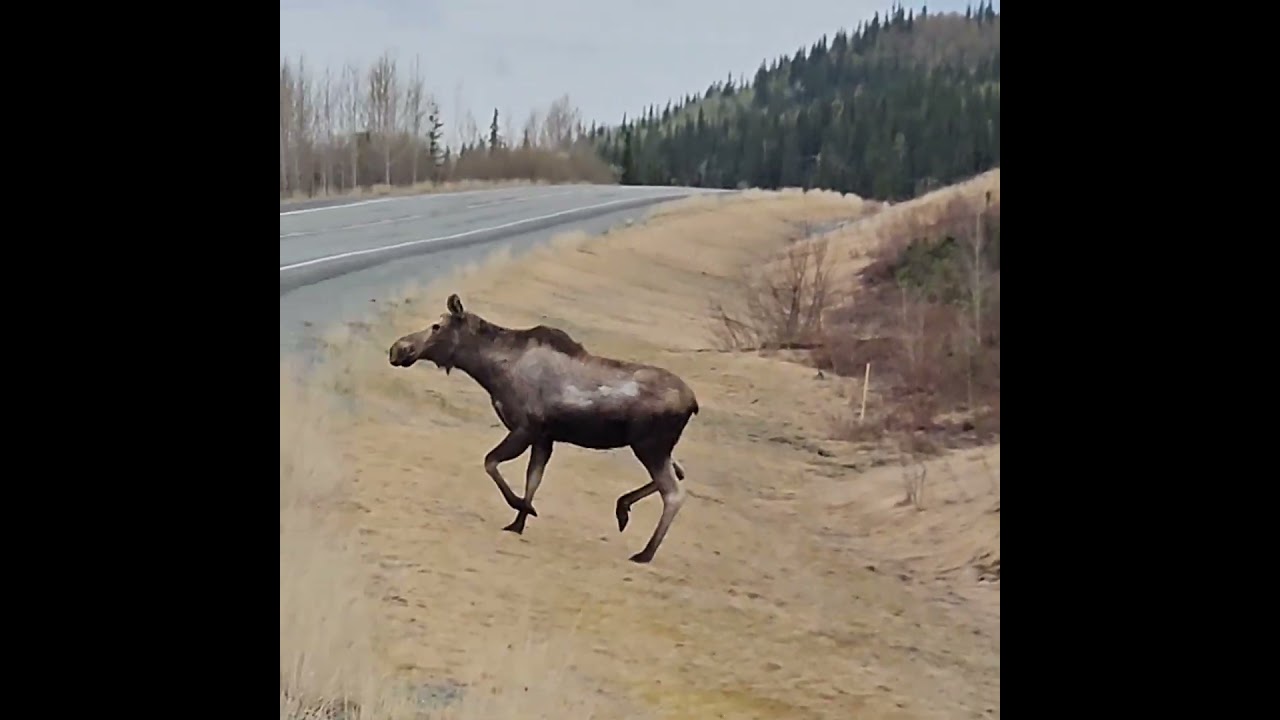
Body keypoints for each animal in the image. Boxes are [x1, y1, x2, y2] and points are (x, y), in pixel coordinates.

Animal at [388, 294, 699, 564]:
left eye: (437, 325)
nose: (398, 349)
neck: (489, 370)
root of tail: (693, 404)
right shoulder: (544, 438)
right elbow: (533, 479)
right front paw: (518, 523)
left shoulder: (526, 428)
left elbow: (491, 462)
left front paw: (522, 507)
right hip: (655, 447)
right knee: (680, 472)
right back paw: (623, 508)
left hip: (650, 445)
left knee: (674, 493)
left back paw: (645, 553)